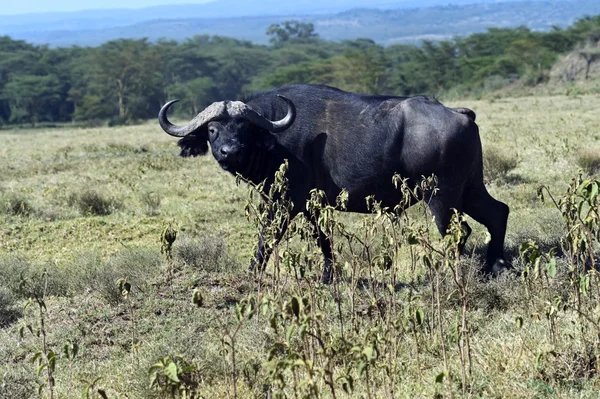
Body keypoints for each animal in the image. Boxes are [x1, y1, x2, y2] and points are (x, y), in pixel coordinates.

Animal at [157, 84, 508, 284]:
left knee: (459, 232)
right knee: (498, 213)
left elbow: (268, 238)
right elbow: (322, 239)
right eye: (212, 130)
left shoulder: (287, 203)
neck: (273, 140)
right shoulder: (304, 204)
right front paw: (326, 276)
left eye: (243, 128)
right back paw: (492, 267)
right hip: (471, 189)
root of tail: (460, 113)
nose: (229, 152)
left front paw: (254, 274)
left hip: (441, 197)